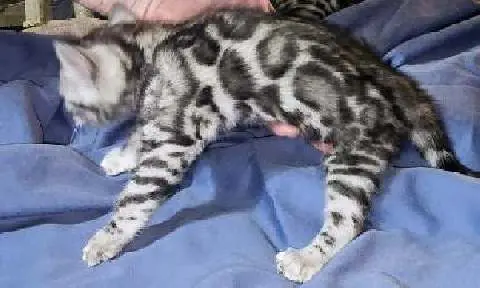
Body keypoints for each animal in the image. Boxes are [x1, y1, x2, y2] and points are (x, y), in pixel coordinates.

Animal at [53, 4, 480, 284]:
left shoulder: (174, 141)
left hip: (354, 154)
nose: (72, 123)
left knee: (349, 222)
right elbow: (139, 132)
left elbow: (134, 200)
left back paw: (306, 259)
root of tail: (387, 78)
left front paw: (105, 240)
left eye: (71, 102)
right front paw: (122, 154)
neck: (149, 52)